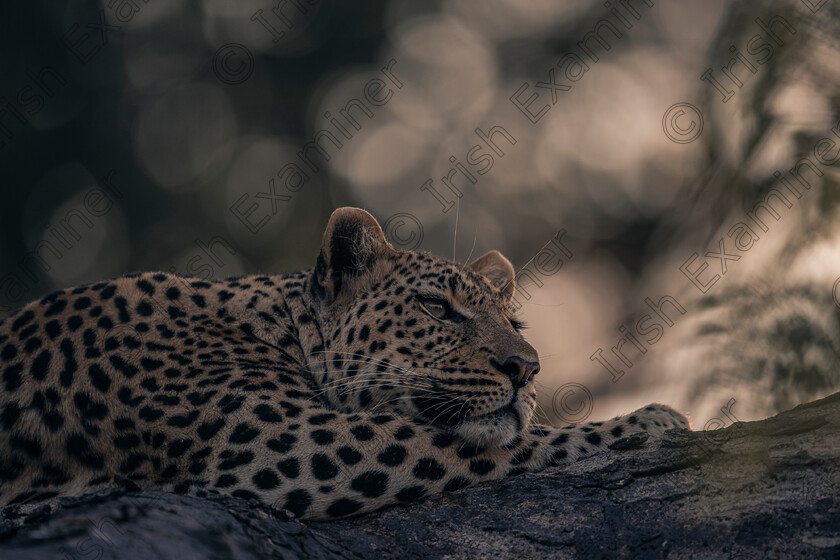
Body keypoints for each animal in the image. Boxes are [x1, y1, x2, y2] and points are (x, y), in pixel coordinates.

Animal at [0, 207, 688, 520]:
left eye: (515, 326)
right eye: (436, 309)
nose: (526, 369)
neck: (277, 326)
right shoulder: (293, 442)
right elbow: (506, 444)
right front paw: (650, 421)